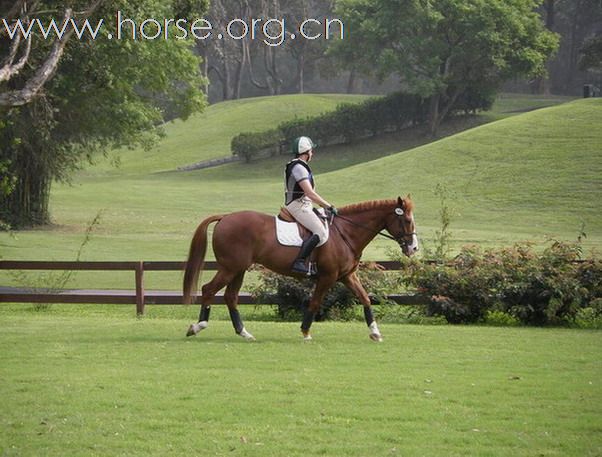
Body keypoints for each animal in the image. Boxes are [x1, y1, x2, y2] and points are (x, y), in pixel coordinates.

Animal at [183, 194, 418, 340]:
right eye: (407, 220)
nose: (413, 248)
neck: (345, 232)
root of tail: (225, 217)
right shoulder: (328, 277)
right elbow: (314, 303)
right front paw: (305, 331)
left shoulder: (347, 276)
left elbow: (365, 298)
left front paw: (375, 332)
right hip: (230, 268)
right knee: (208, 290)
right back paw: (197, 326)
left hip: (238, 269)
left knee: (230, 296)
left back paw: (244, 333)